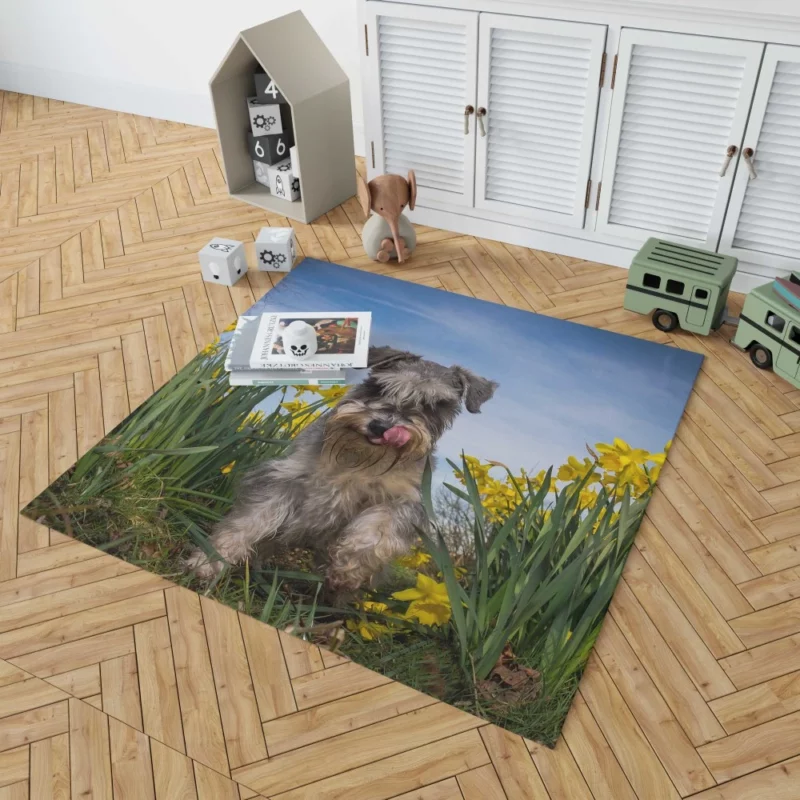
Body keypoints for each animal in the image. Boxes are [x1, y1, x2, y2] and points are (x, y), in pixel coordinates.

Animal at [188, 346, 500, 592]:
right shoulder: (286, 478)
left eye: (434, 405)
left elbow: (373, 534)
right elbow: (249, 521)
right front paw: (209, 561)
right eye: (380, 387)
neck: (362, 459)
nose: (381, 426)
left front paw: (348, 570)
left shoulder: (403, 503)